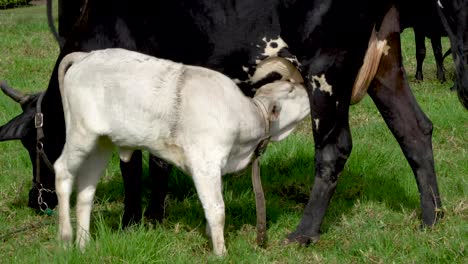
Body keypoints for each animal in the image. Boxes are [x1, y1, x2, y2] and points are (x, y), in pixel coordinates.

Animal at [54, 48, 310, 256]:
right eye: (290, 89)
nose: (310, 91)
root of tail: (85, 57)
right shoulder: (205, 165)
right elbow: (217, 209)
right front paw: (221, 252)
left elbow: (211, 207)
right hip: (80, 135)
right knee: (62, 171)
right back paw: (66, 239)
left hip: (101, 144)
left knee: (86, 190)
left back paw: (84, 245)